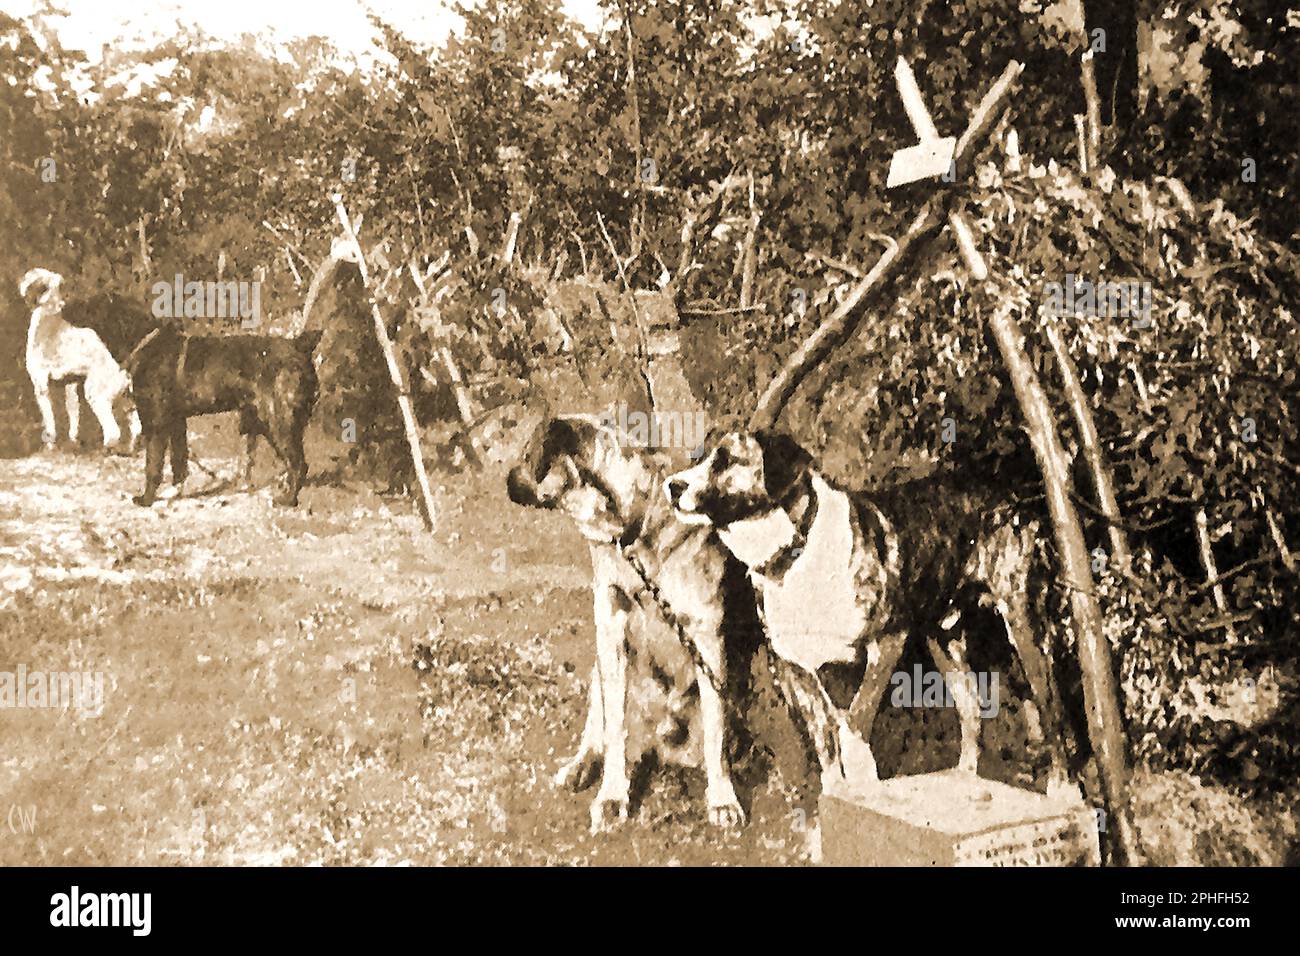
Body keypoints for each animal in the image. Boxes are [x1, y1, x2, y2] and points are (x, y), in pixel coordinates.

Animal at [501, 416, 759, 832]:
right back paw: (582, 764)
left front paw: (722, 798)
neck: (632, 526)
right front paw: (612, 795)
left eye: (527, 454)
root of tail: (660, 739)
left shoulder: (705, 634)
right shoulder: (610, 628)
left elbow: (715, 731)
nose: (506, 478)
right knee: (600, 725)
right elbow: (614, 725)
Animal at [665, 429, 1071, 796]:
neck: (798, 550)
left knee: (1053, 711)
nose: (672, 485)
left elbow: (856, 719)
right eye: (700, 457)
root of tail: (1011, 494)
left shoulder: (886, 642)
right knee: (971, 709)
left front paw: (862, 774)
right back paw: (965, 777)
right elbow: (824, 740)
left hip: (1026, 628)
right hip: (945, 641)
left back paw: (1063, 788)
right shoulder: (795, 666)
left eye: (726, 459)